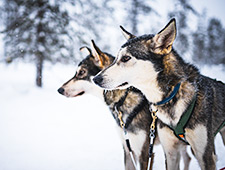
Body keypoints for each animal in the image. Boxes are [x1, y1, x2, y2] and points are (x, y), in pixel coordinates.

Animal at [93, 18, 225, 170]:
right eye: (115, 59)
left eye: (126, 58)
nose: (95, 79)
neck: (172, 94)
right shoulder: (170, 152)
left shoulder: (206, 155)